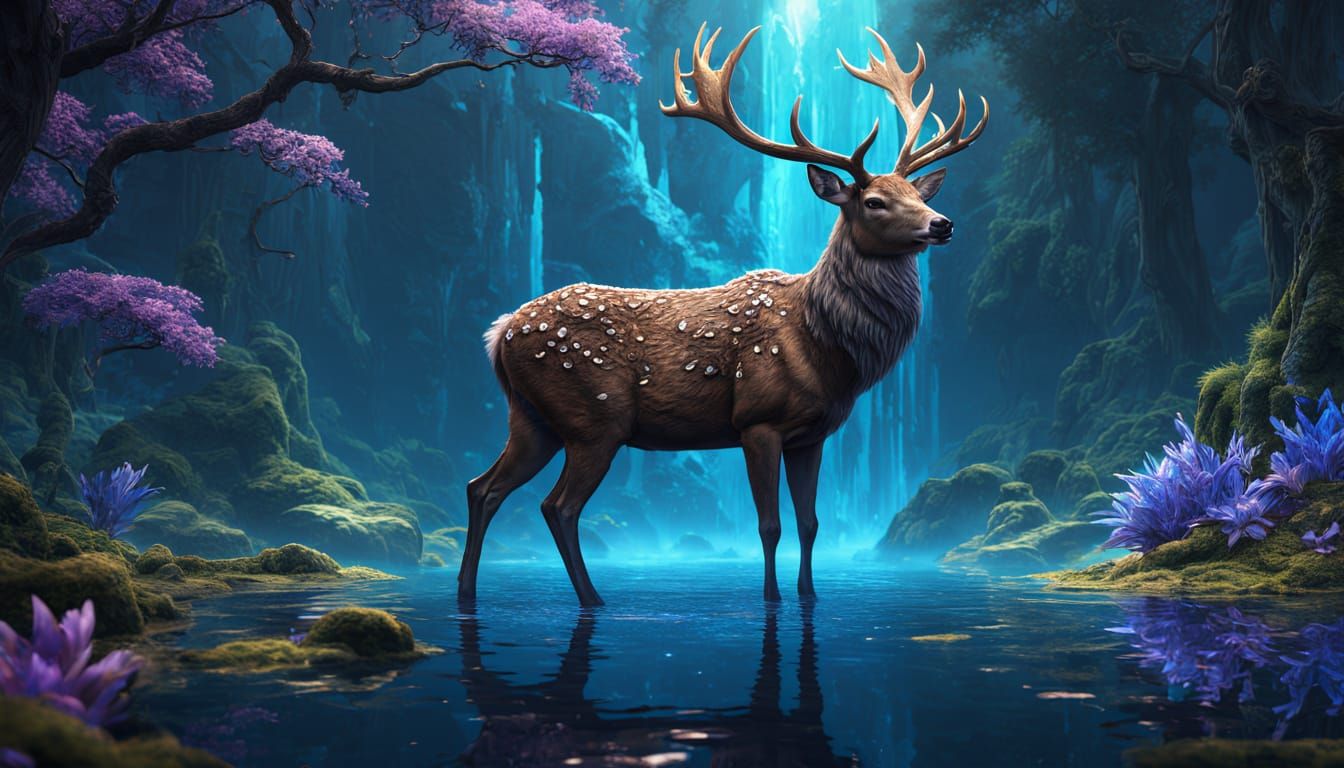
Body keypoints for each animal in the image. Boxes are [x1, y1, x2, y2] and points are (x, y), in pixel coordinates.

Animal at [459, 24, 988, 606]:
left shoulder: (814, 434)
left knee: (483, 487)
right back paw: (592, 599)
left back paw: (468, 592)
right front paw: (772, 599)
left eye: (917, 192)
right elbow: (769, 525)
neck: (827, 346)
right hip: (594, 418)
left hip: (533, 418)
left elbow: (811, 524)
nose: (942, 224)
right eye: (873, 201)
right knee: (558, 505)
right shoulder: (757, 420)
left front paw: (809, 596)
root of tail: (499, 333)